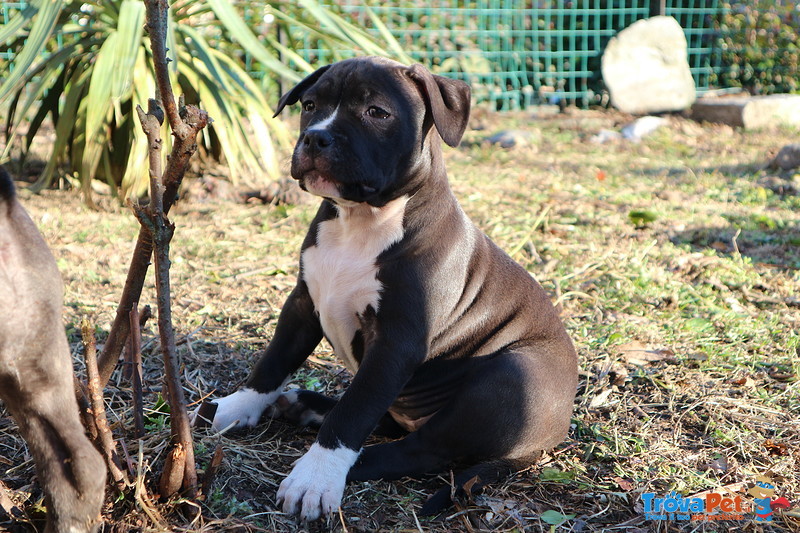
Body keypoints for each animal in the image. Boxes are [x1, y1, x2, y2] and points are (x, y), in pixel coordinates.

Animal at [197, 57, 580, 520]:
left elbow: (355, 410)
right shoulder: (303, 304)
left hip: (511, 374)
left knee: (423, 447)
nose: (315, 136)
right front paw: (234, 407)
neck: (360, 222)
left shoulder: (396, 342)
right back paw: (304, 405)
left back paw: (354, 459)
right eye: (309, 105)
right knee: (388, 420)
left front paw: (316, 477)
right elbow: (272, 363)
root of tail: (546, 439)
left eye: (376, 112)